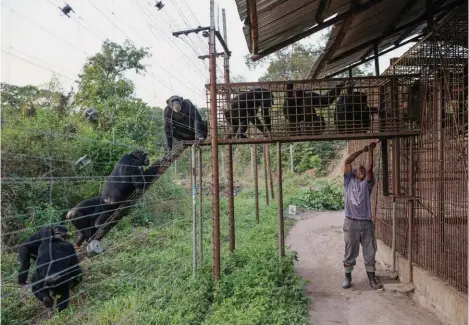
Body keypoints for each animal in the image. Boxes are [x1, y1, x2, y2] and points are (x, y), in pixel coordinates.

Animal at [205, 75, 420, 144]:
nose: (272, 101)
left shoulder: (312, 96)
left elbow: (323, 100)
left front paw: (343, 84)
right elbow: (285, 113)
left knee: (320, 119)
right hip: (233, 113)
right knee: (244, 118)